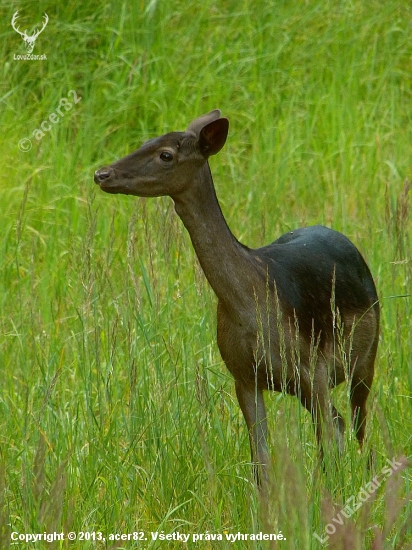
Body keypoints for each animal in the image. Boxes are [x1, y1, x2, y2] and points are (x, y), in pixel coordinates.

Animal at [94, 109, 380, 488]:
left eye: (166, 154)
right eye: (145, 141)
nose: (102, 174)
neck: (248, 304)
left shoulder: (313, 368)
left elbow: (325, 443)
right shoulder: (243, 376)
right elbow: (261, 464)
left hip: (365, 355)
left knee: (353, 426)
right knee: (341, 423)